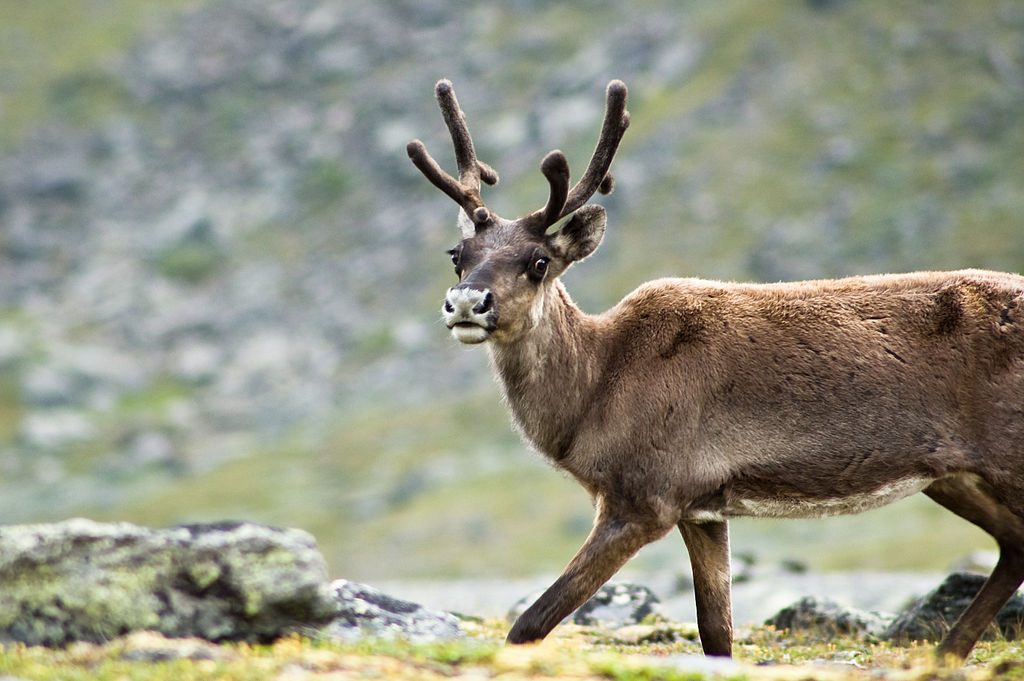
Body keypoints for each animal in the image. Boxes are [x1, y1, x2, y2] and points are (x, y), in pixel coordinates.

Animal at [406, 78, 1024, 663]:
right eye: (457, 255)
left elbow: (529, 624)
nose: (466, 303)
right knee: (1015, 543)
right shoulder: (702, 508)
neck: (594, 388)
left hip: (1003, 459)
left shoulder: (643, 497)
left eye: (538, 262)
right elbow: (717, 632)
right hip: (954, 475)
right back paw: (945, 655)